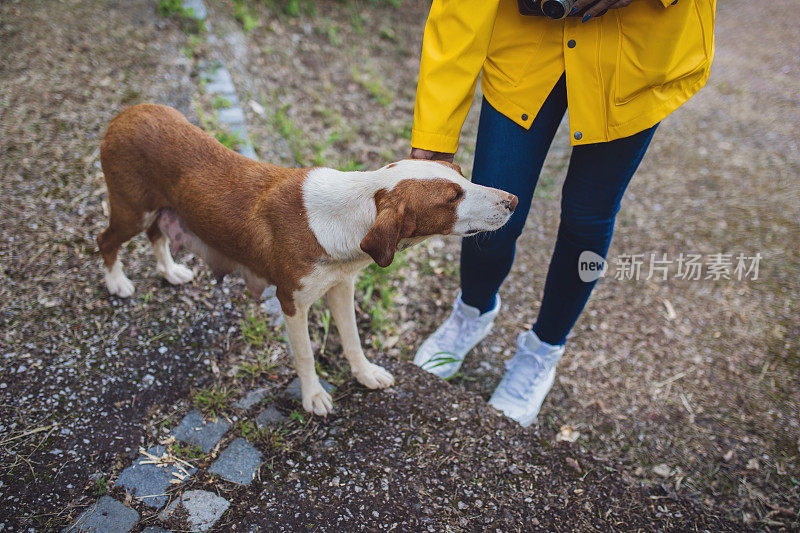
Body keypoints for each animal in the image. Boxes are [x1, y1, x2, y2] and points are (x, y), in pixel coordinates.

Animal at [97, 104, 520, 416]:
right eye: (452, 197)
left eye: (461, 174)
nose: (514, 201)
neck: (354, 209)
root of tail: (127, 113)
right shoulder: (291, 302)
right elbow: (304, 354)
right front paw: (313, 396)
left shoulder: (342, 286)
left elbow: (352, 339)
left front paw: (364, 374)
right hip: (132, 210)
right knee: (106, 240)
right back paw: (116, 282)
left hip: (159, 209)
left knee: (157, 234)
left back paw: (169, 271)